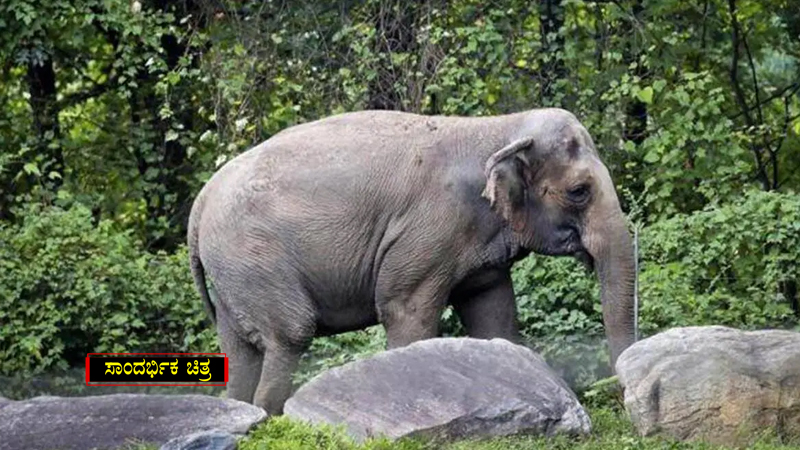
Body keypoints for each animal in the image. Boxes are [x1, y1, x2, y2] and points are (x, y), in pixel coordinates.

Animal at [187, 107, 636, 415]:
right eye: (579, 191)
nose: (618, 395)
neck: (498, 127)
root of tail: (201, 202)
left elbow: (494, 317)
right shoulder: (429, 231)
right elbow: (406, 311)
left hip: (233, 273)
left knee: (239, 351)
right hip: (254, 257)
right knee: (290, 334)